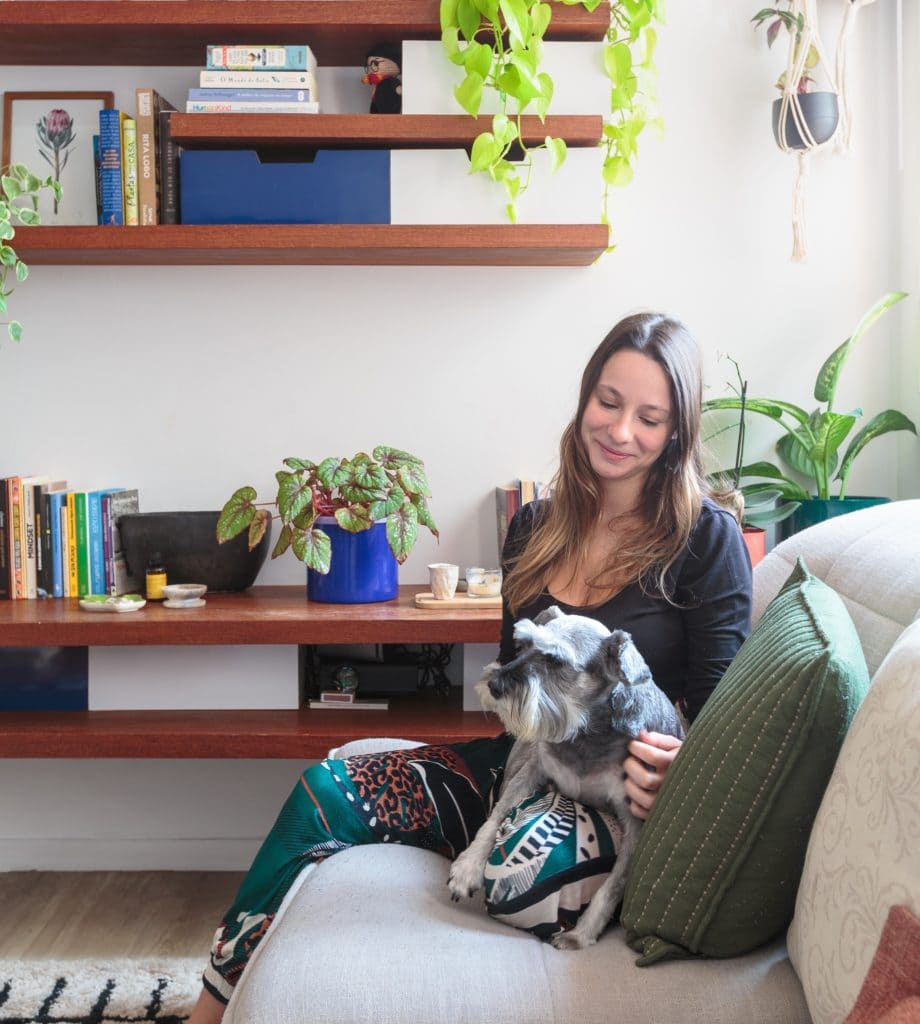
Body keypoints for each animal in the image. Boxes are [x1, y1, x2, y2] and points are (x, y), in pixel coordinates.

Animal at [444, 602, 680, 946]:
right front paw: (467, 867)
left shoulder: (635, 820)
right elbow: (495, 818)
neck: (584, 732)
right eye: (524, 645)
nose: (494, 685)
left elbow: (614, 884)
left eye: (556, 660)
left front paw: (581, 935)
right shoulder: (532, 772)